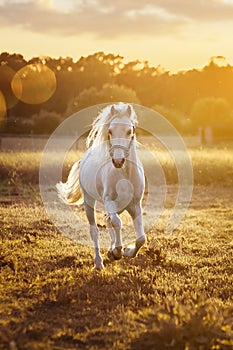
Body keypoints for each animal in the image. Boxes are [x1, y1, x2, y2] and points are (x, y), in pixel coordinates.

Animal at [56, 102, 146, 270]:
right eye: (110, 131)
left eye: (129, 131)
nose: (118, 161)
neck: (124, 175)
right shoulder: (110, 201)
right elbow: (117, 222)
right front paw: (118, 251)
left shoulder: (135, 205)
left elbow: (141, 238)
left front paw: (126, 251)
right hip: (89, 202)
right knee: (95, 230)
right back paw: (98, 262)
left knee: (107, 220)